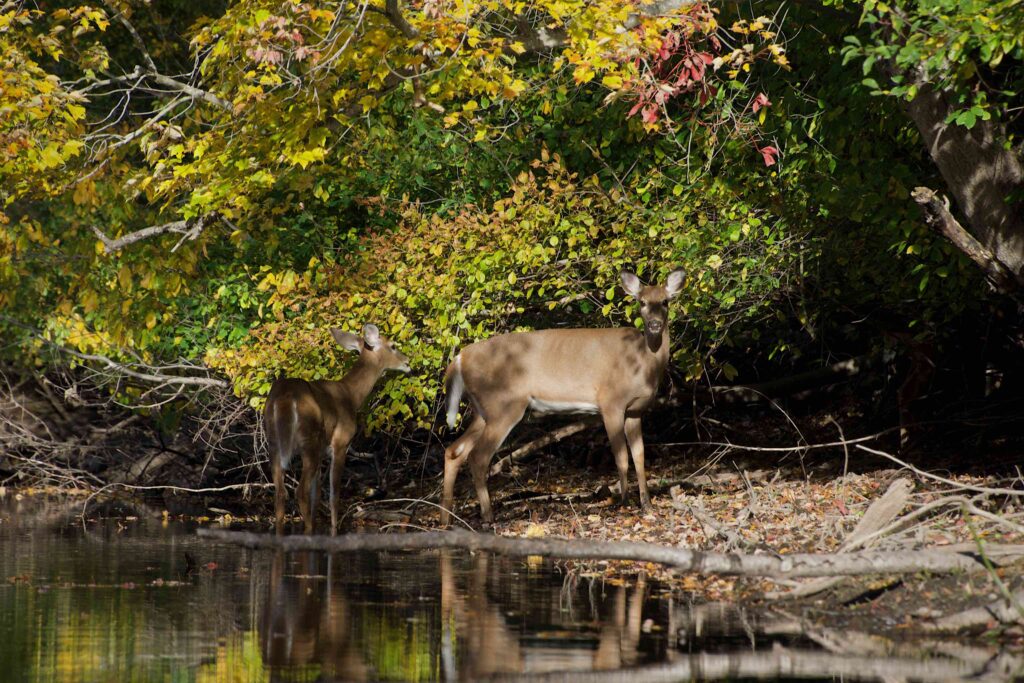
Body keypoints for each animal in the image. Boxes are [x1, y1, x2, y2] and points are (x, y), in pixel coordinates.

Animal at [264, 323, 411, 536]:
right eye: (392, 345)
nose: (408, 362)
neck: (351, 395)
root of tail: (285, 398)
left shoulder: (322, 453)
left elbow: (317, 496)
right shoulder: (341, 443)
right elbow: (334, 494)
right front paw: (335, 528)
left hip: (274, 442)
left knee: (281, 492)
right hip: (309, 441)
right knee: (300, 491)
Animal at [442, 266, 688, 524]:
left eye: (665, 301)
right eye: (642, 302)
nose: (654, 325)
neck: (643, 363)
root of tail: (460, 358)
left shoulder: (636, 410)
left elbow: (639, 455)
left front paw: (646, 503)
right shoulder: (611, 402)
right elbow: (621, 456)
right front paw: (624, 502)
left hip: (483, 410)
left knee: (454, 451)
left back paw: (446, 519)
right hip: (503, 405)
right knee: (478, 456)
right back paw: (488, 516)